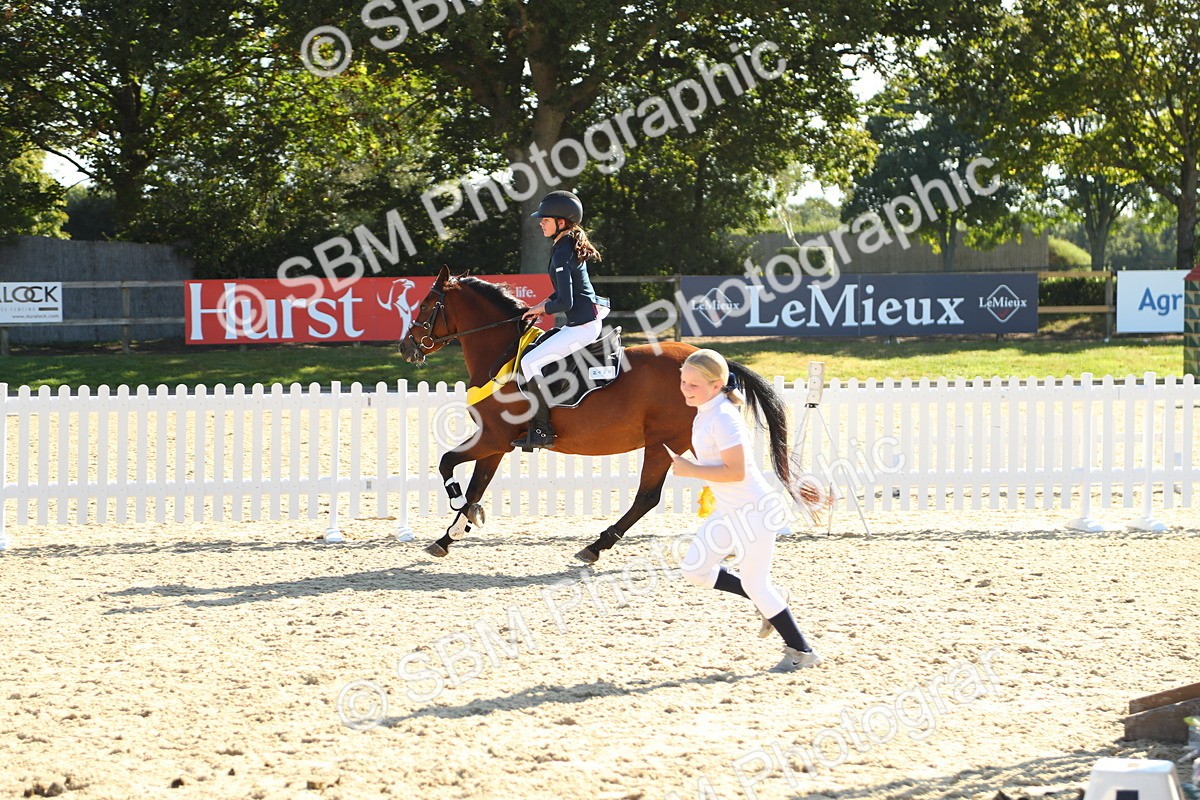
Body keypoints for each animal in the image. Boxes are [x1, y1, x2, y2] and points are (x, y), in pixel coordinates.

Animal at [399, 265, 808, 564]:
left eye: (425, 307)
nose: (405, 348)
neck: (502, 353)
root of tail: (711, 361)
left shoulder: (492, 437)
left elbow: (448, 465)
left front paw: (459, 519)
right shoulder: (497, 443)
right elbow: (476, 486)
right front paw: (452, 533)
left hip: (664, 442)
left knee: (648, 497)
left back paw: (596, 546)